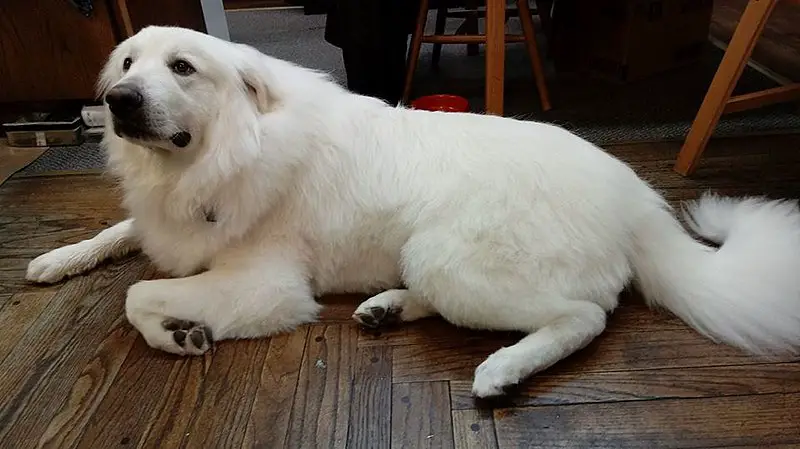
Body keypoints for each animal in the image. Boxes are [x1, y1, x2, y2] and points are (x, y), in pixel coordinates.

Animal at [25, 25, 800, 396]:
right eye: (128, 65)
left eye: (183, 68)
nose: (119, 102)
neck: (221, 148)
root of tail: (636, 197)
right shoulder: (169, 221)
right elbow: (120, 230)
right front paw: (56, 259)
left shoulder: (264, 286)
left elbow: (137, 294)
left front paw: (177, 332)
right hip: (429, 258)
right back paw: (386, 308)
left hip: (449, 256)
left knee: (584, 317)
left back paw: (502, 370)